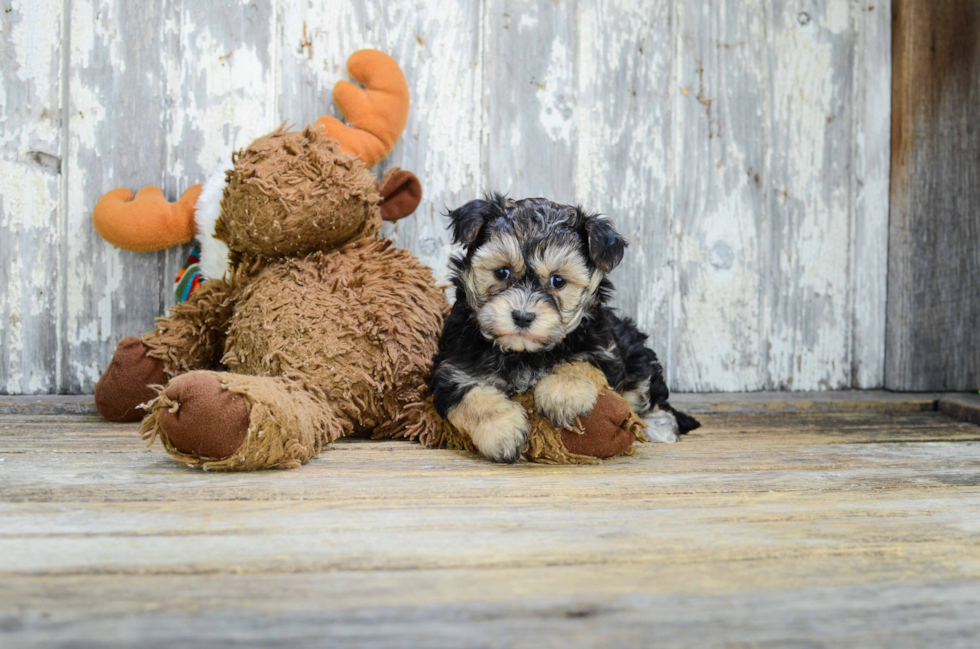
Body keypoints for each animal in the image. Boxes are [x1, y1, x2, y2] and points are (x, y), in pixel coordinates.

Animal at [428, 195, 696, 464]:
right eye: (502, 272)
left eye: (558, 281)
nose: (523, 316)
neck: (524, 354)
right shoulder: (454, 369)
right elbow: (472, 398)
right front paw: (503, 431)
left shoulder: (605, 351)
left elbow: (580, 362)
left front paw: (563, 394)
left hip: (637, 354)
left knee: (649, 392)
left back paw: (658, 425)